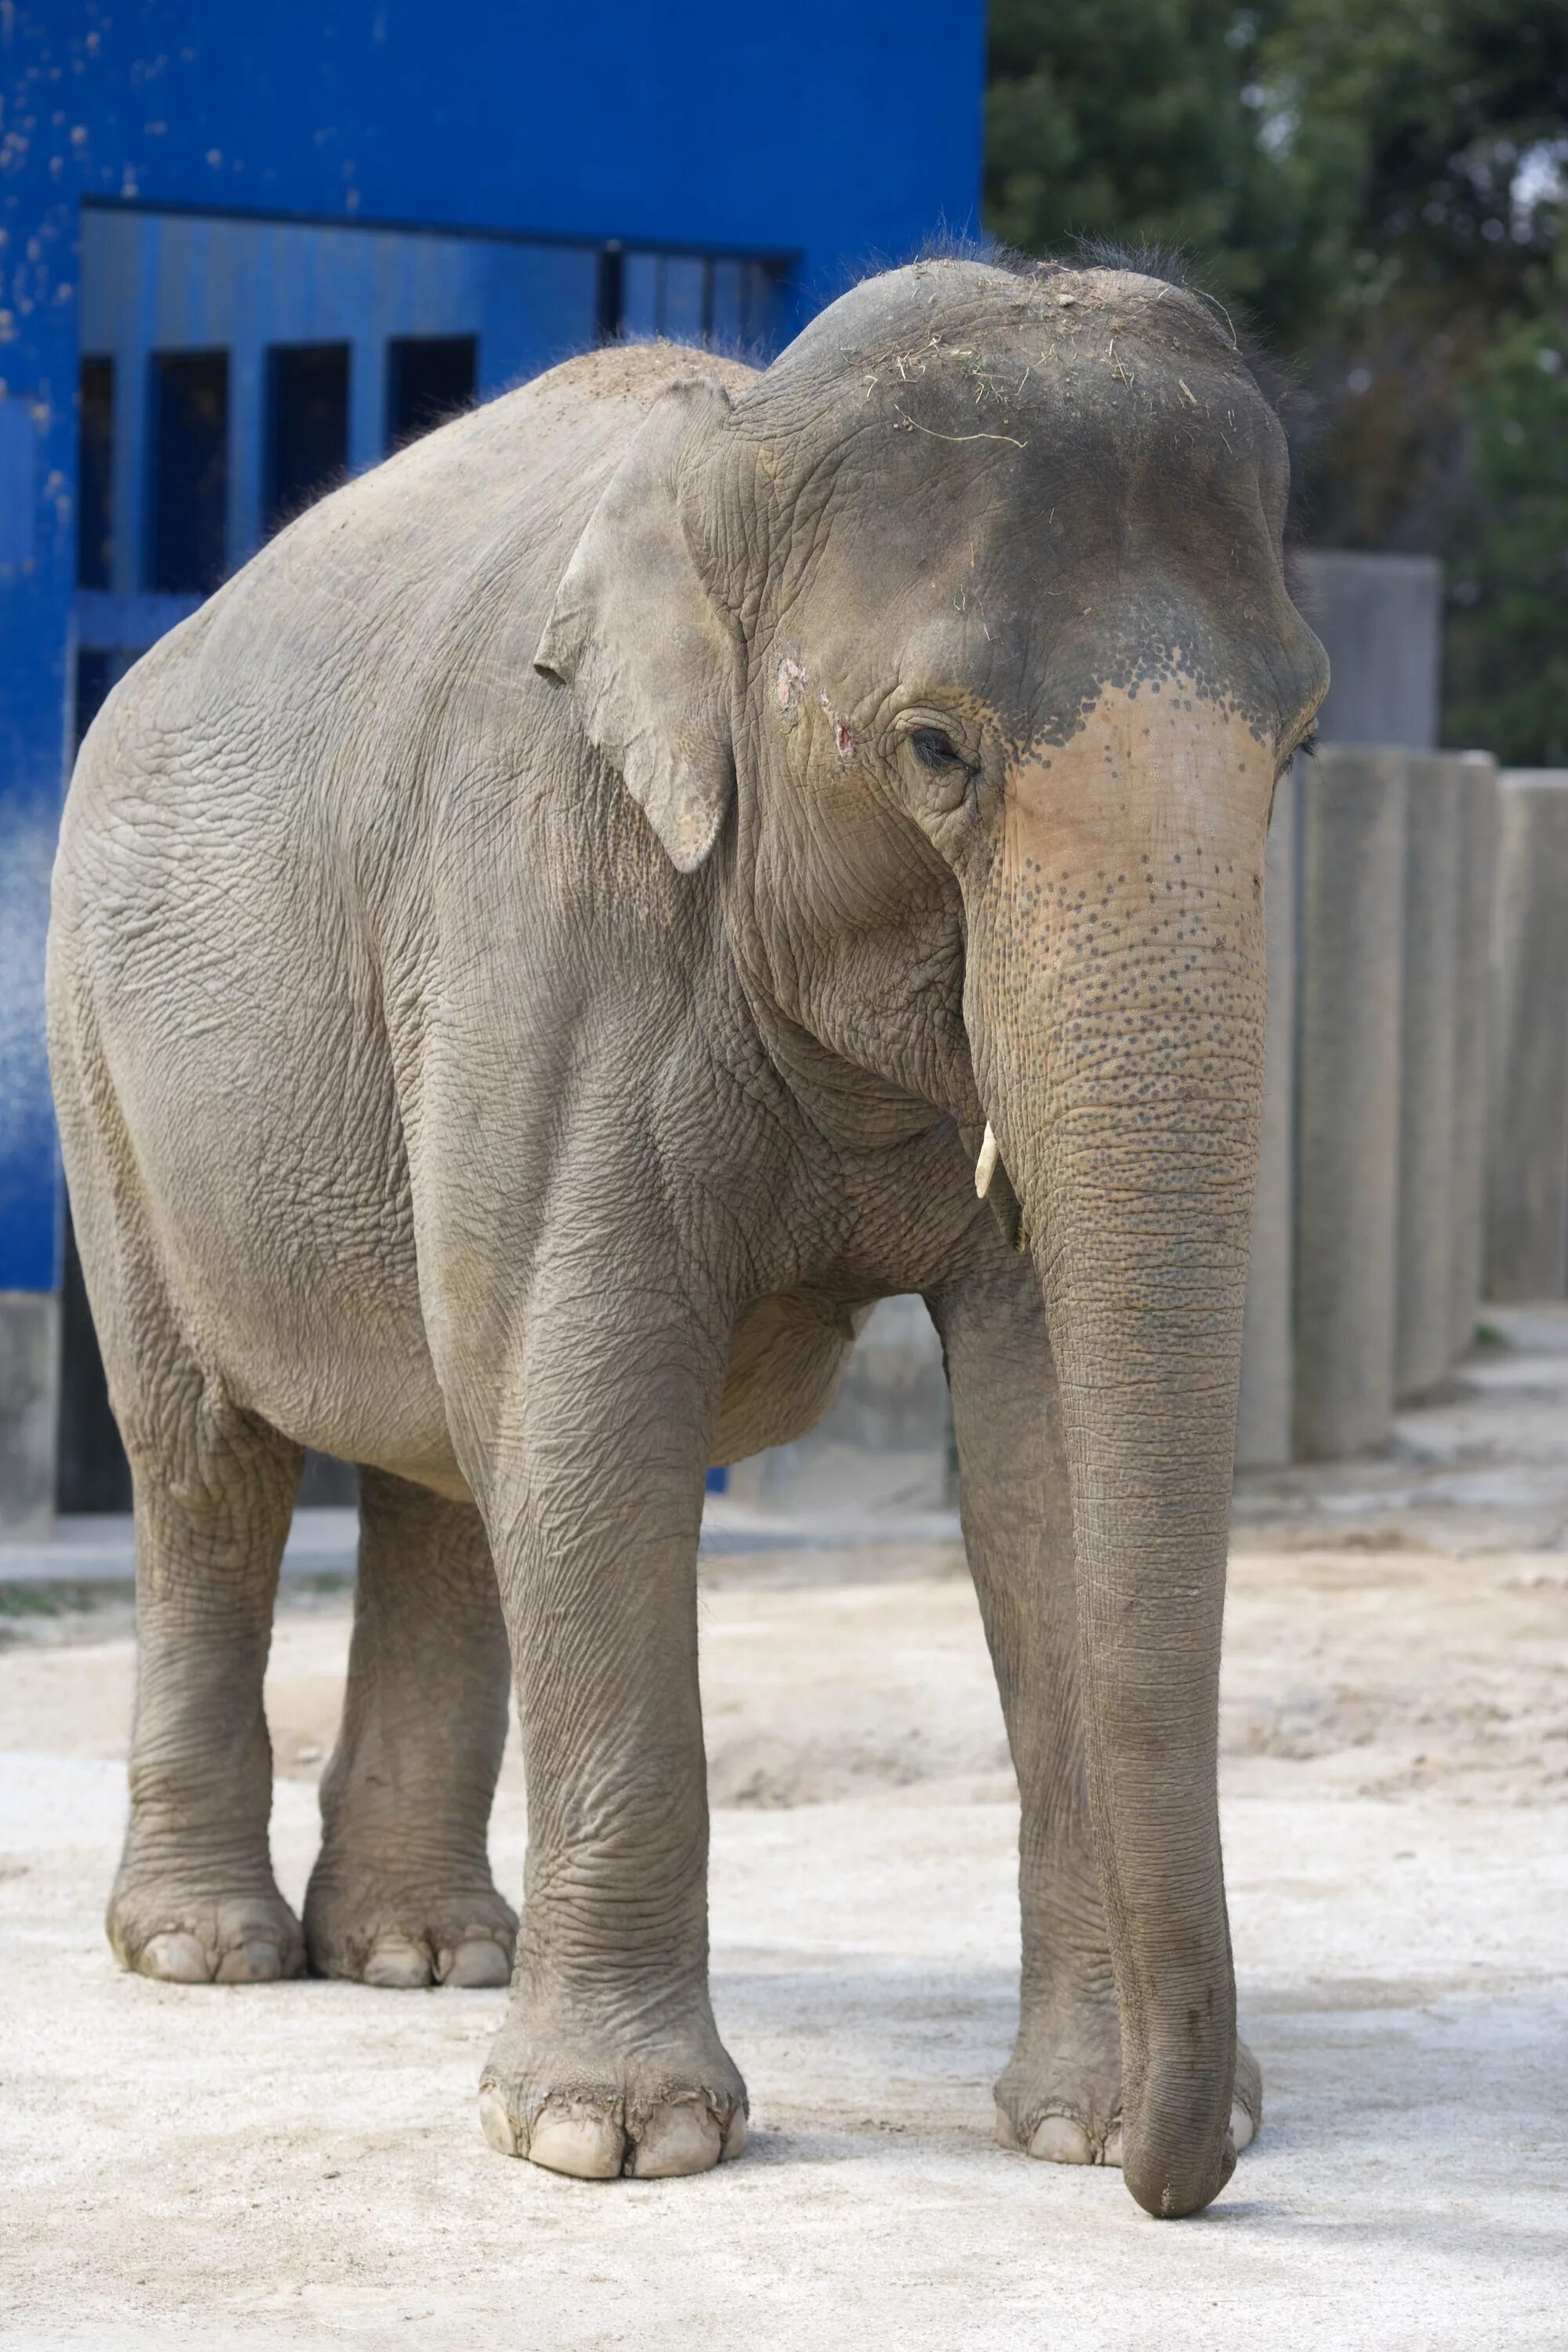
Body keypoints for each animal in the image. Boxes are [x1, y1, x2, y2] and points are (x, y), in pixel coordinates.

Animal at [45, 257, 1326, 2220]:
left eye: (1300, 746)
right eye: (932, 749)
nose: (1188, 2173)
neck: (743, 448)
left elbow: (1038, 1456)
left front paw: (1079, 2127)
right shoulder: (545, 905)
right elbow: (595, 1403)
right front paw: (612, 2145)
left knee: (443, 1459)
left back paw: (420, 1957)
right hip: (99, 1062)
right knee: (210, 1463)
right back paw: (208, 1953)